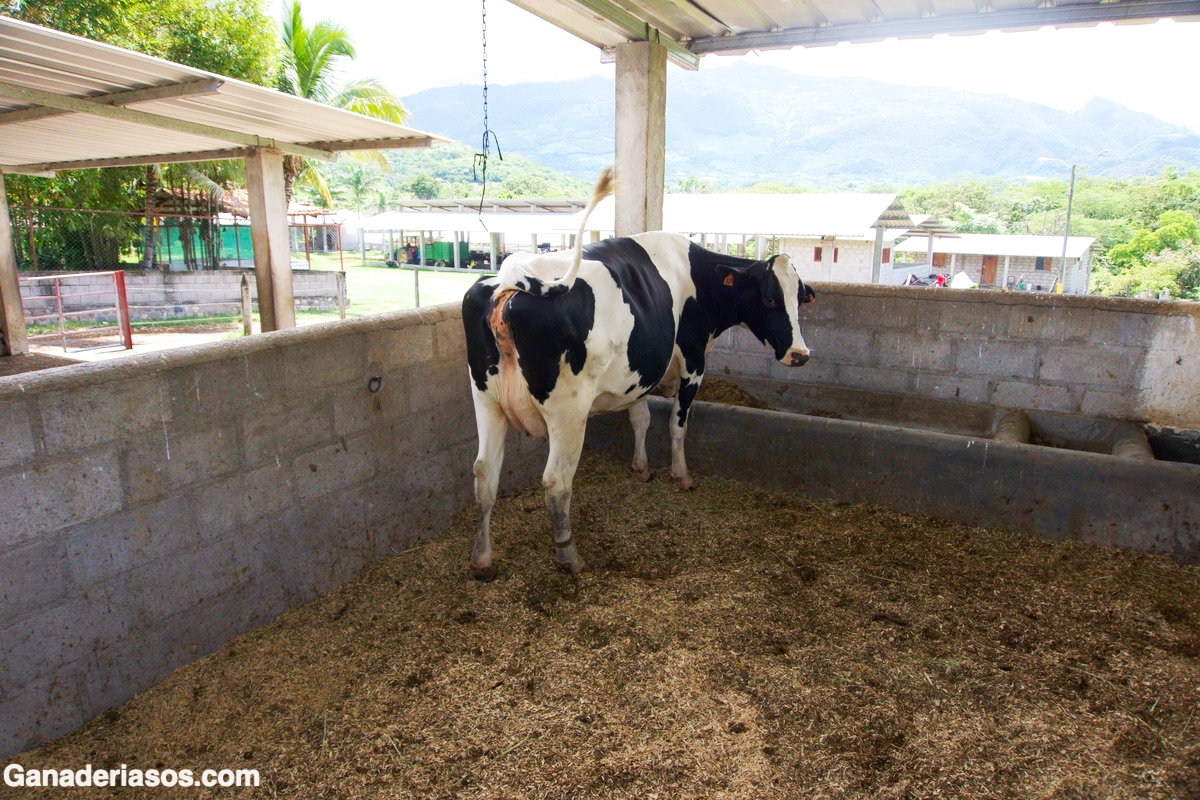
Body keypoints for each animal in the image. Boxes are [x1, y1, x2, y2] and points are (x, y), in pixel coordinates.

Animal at [458, 170, 816, 582]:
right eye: (770, 299)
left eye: (800, 297)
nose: (800, 355)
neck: (696, 277)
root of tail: (509, 278)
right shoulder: (693, 365)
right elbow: (677, 425)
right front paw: (681, 475)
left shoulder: (640, 373)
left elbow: (640, 418)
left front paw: (641, 468)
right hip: (568, 411)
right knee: (556, 481)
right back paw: (568, 554)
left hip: (485, 399)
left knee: (484, 473)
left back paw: (482, 558)